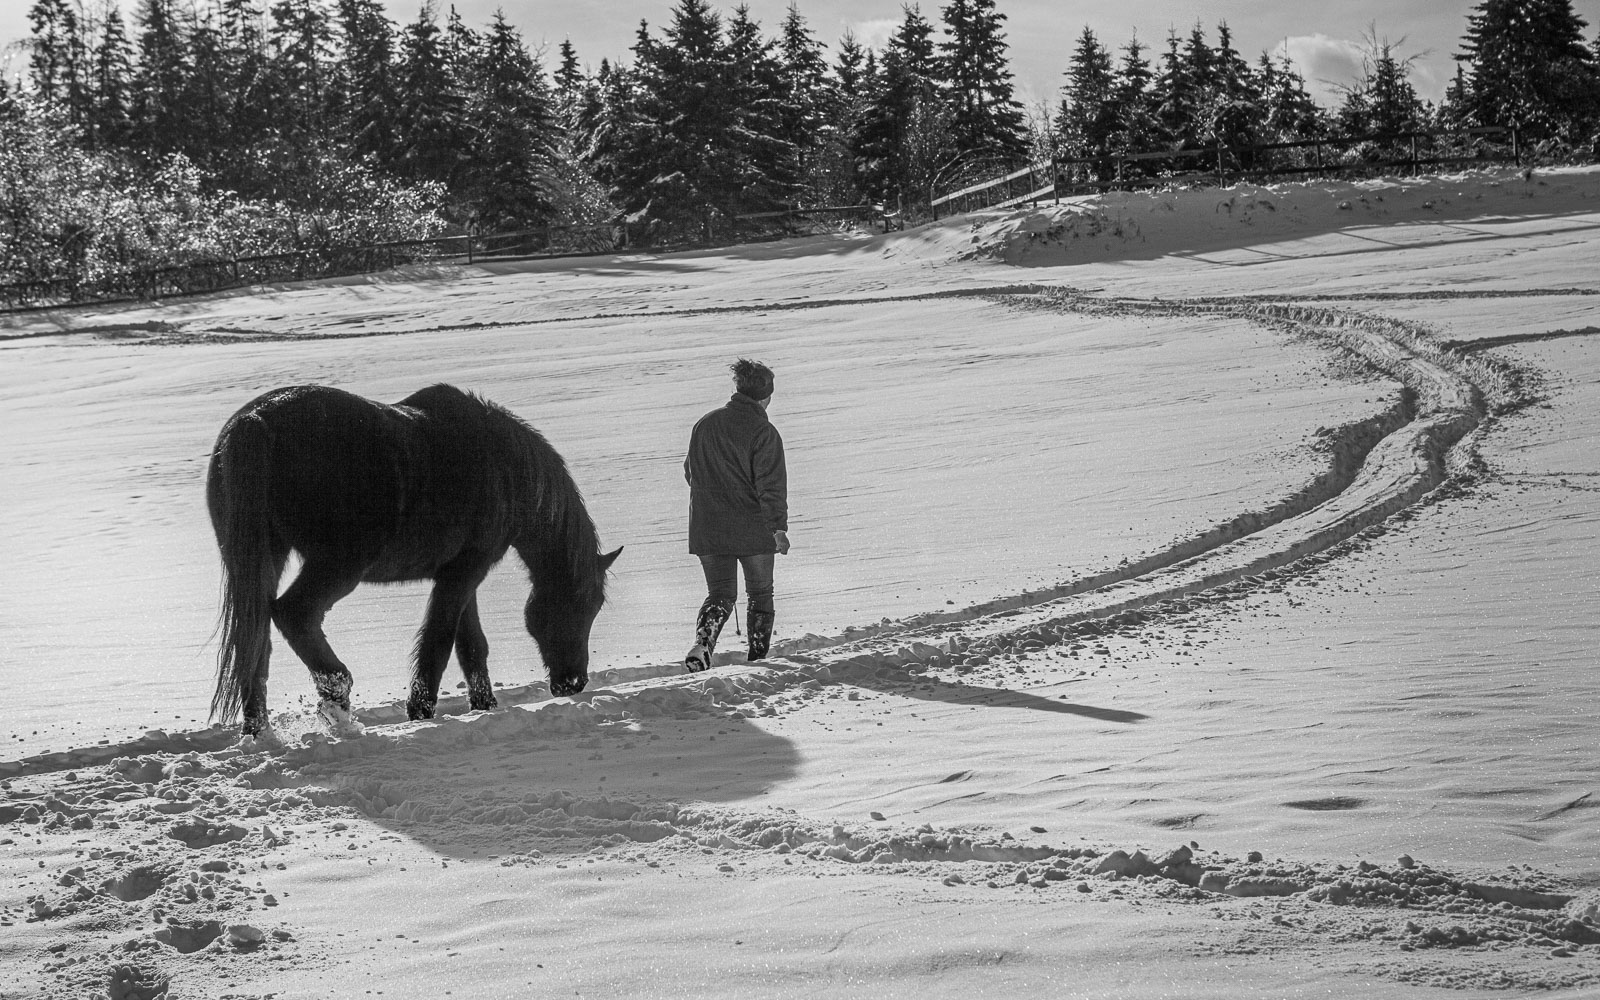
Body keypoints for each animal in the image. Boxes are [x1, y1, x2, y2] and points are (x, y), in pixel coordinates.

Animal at [206, 384, 617, 742]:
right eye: (585, 604)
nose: (574, 682)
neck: (505, 468)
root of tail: (255, 421)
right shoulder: (468, 569)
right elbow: (439, 637)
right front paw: (421, 710)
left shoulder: (459, 572)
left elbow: (471, 645)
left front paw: (484, 705)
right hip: (339, 566)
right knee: (293, 614)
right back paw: (337, 694)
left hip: (262, 561)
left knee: (255, 642)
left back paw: (259, 730)